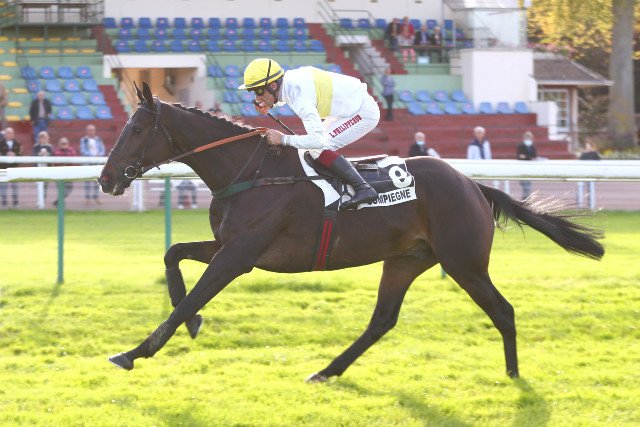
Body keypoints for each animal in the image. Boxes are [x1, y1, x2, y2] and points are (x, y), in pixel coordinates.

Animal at [98, 83, 604, 382]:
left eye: (137, 128)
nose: (106, 179)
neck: (252, 173)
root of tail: (473, 184)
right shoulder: (228, 246)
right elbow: (173, 255)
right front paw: (192, 324)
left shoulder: (239, 256)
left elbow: (190, 299)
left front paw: (135, 352)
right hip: (406, 260)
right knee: (382, 320)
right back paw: (326, 370)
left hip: (464, 262)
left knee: (503, 311)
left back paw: (515, 377)